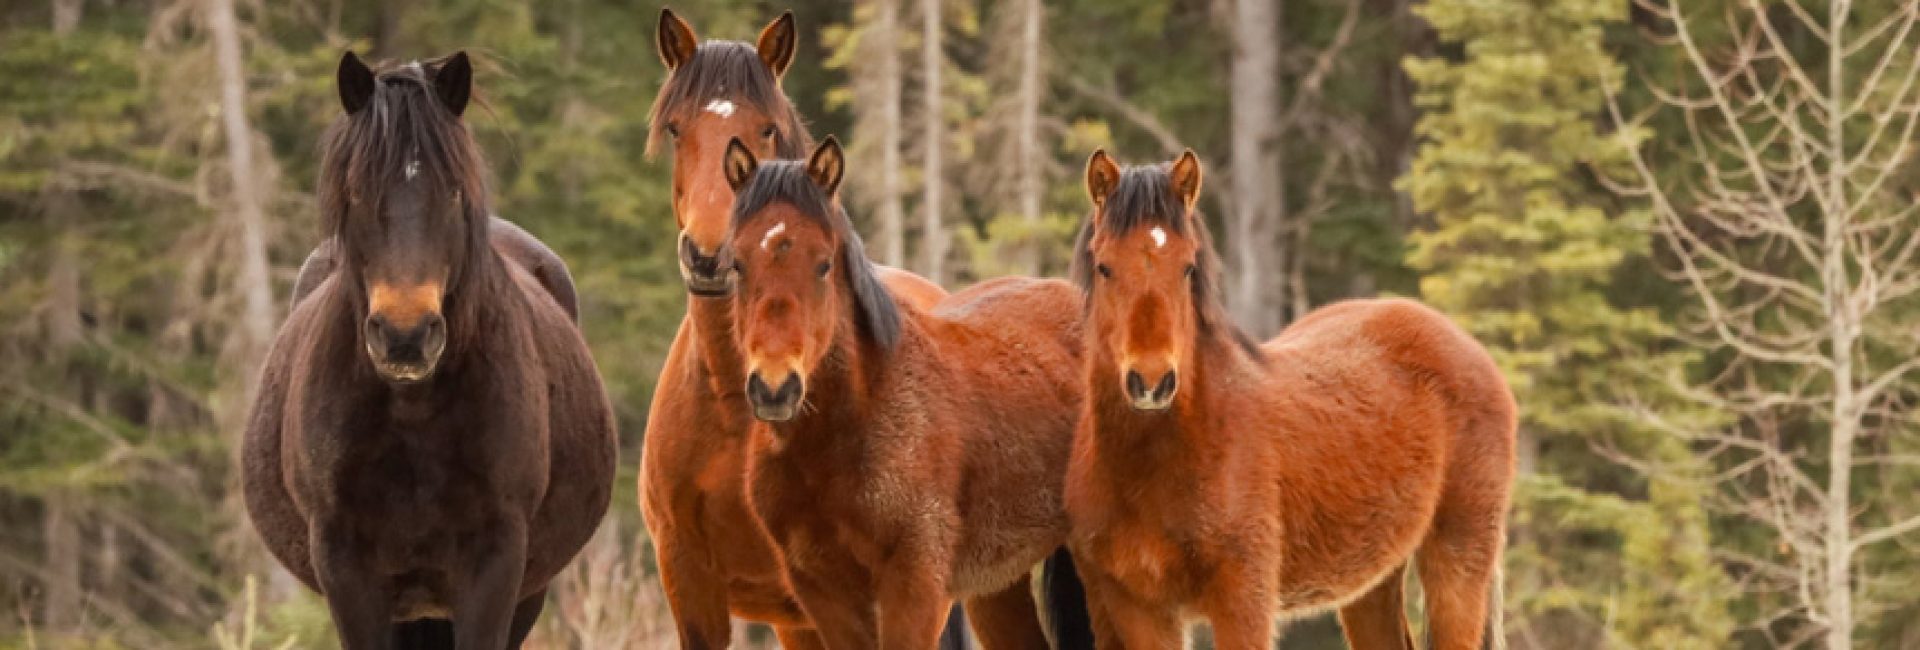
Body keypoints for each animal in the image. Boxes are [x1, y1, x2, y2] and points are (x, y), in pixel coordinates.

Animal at [242, 51, 617, 650]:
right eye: (355, 192)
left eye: (454, 191)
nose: (405, 335)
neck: (412, 414)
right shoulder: (345, 566)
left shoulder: (498, 561)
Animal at [721, 136, 1089, 649]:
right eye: (737, 264)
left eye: (823, 264)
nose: (775, 388)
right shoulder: (823, 590)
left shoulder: (914, 584)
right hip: (997, 584)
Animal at [1061, 150, 1515, 649]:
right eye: (1104, 267)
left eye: (1188, 267)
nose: (1151, 382)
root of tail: (1469, 347)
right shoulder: (1138, 609)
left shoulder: (1243, 600)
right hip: (1372, 584)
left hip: (1458, 558)